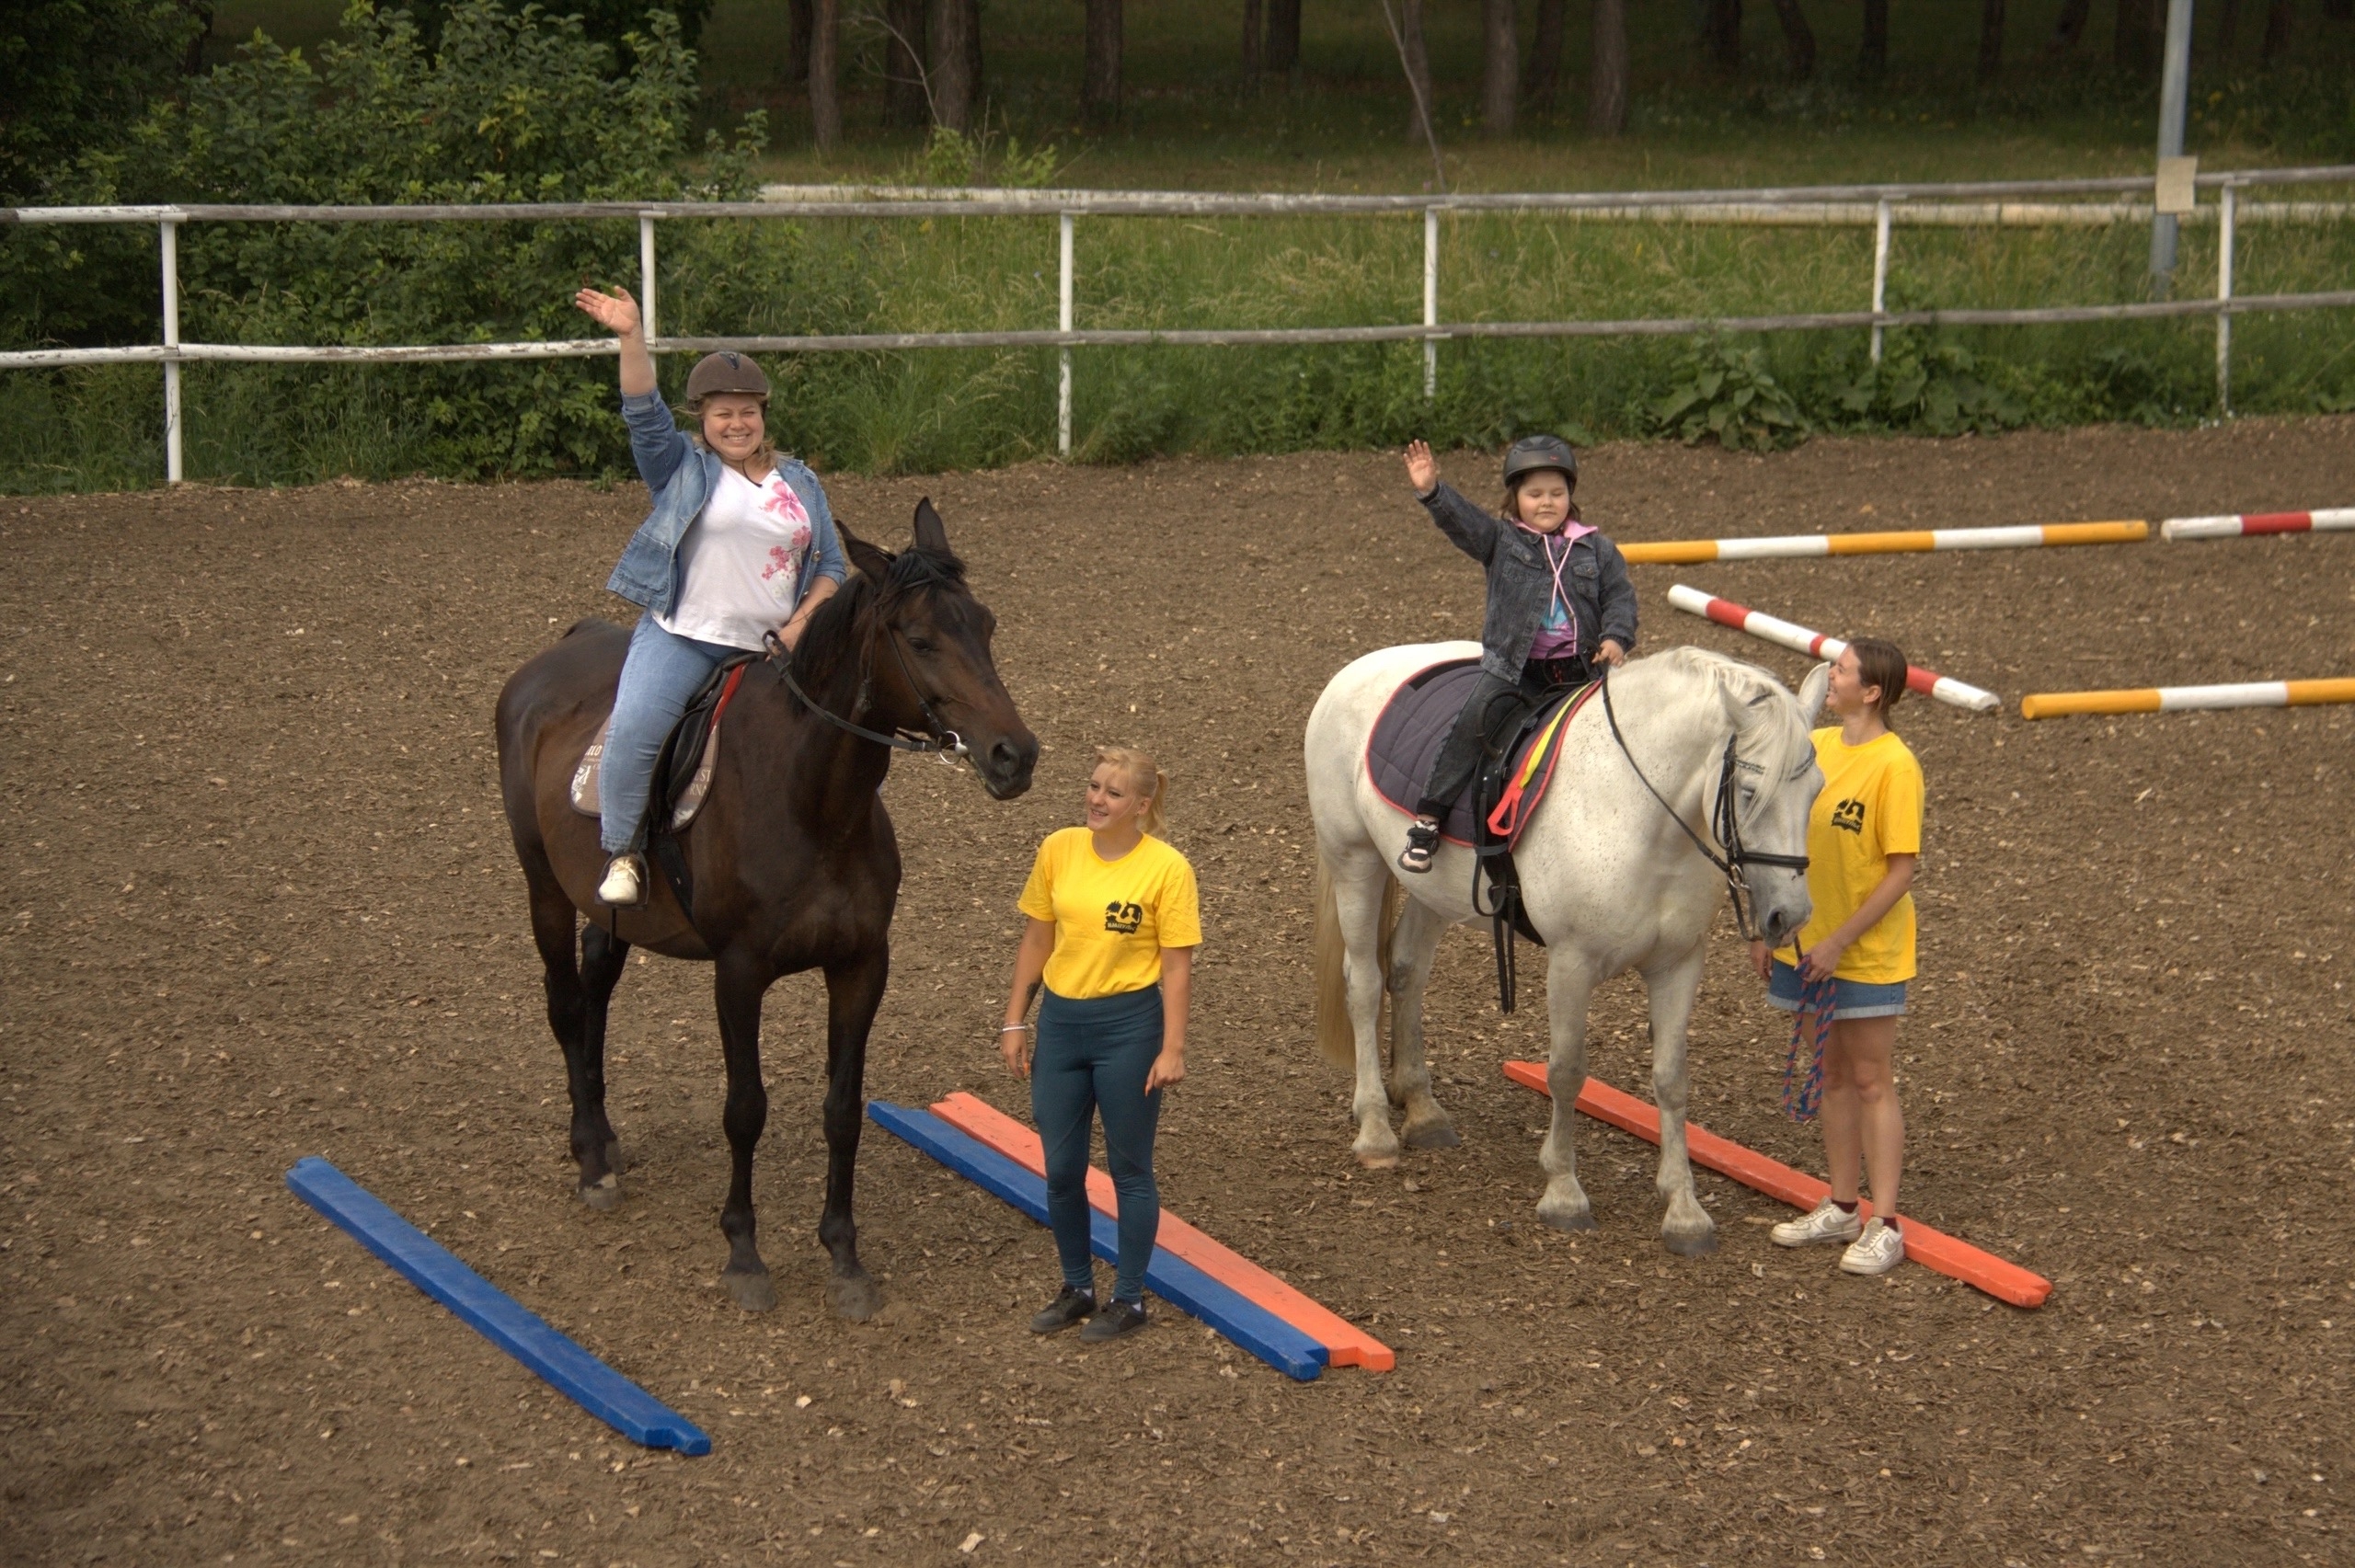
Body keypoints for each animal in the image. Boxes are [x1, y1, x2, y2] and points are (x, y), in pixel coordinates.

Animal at [495, 499, 1037, 1318]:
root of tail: (554, 657)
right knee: (564, 1003)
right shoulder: (740, 971)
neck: (811, 803)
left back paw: (606, 1136)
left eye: (987, 623)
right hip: (543, 886)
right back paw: (590, 1157)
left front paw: (844, 1257)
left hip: (607, 904)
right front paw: (744, 1254)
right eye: (919, 638)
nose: (1015, 754)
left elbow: (842, 1110)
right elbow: (745, 1108)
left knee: (595, 984)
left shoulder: (861, 965)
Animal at [1306, 642, 1825, 1255]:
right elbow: (1566, 1072)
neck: (1640, 816)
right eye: (1749, 793)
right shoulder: (1571, 964)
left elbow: (1671, 1079)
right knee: (1364, 984)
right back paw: (1375, 1130)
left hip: (1432, 890)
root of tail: (1358, 667)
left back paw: (1423, 1110)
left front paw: (1684, 1209)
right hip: (1355, 861)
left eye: (1816, 790)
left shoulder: (1678, 964)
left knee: (1406, 971)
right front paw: (1563, 1192)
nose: (1790, 915)